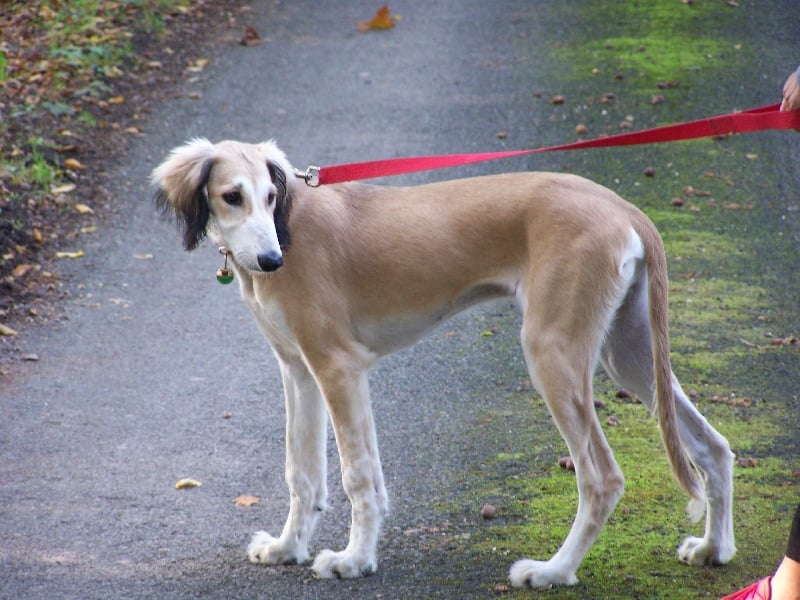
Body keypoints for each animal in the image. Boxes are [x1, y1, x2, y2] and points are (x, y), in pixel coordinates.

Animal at [153, 138, 736, 588]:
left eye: (271, 197)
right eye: (232, 196)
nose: (272, 260)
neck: (289, 227)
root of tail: (623, 208)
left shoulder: (340, 368)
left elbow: (358, 476)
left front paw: (355, 560)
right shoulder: (299, 371)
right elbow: (304, 474)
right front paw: (286, 548)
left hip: (552, 352)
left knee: (603, 478)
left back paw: (553, 571)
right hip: (629, 353)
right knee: (713, 446)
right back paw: (714, 548)